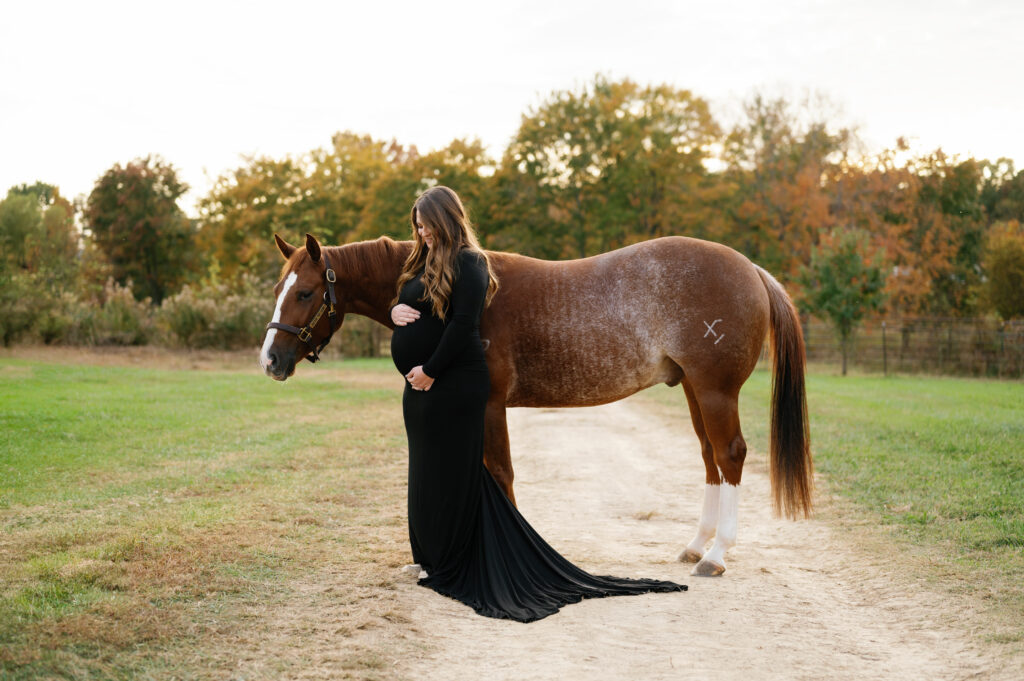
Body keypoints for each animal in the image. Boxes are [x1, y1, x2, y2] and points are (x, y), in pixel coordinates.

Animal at [260, 232, 811, 573]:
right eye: (279, 288)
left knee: (731, 455)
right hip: (696, 390)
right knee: (710, 458)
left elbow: (501, 474)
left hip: (715, 390)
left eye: (306, 293)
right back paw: (697, 546)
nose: (270, 359)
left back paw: (717, 556)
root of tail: (750, 268)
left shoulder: (489, 405)